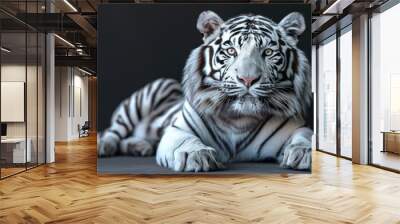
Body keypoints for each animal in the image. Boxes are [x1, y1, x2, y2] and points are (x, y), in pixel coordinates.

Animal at [99, 10, 312, 172]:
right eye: (231, 51)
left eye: (268, 52)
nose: (248, 79)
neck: (239, 119)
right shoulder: (178, 130)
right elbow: (186, 141)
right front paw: (195, 155)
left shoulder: (297, 127)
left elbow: (304, 136)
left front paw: (304, 152)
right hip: (154, 92)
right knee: (114, 130)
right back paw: (105, 145)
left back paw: (141, 147)